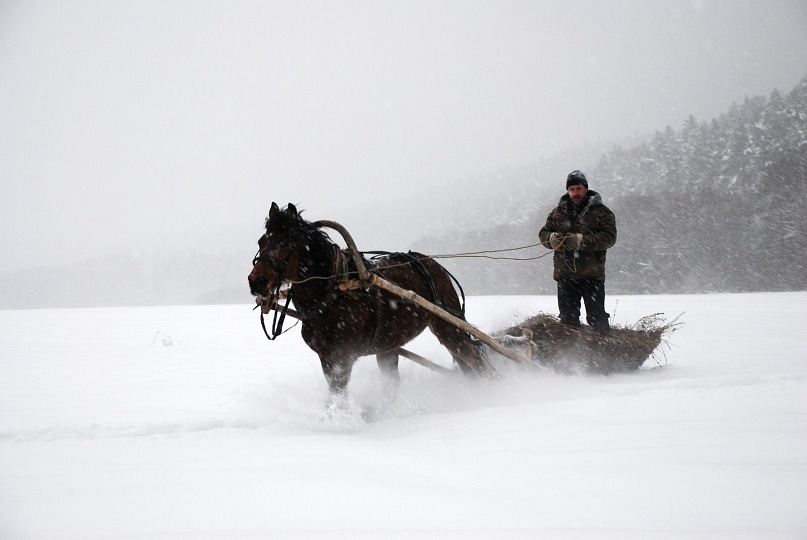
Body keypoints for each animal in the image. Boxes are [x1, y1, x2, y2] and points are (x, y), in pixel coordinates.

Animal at [246, 202, 492, 404]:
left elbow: (339, 395)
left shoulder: (342, 357)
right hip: (389, 343)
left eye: (286, 242)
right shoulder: (326, 357)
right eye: (262, 241)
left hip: (448, 327)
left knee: (474, 359)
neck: (333, 289)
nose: (257, 281)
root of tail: (433, 264)